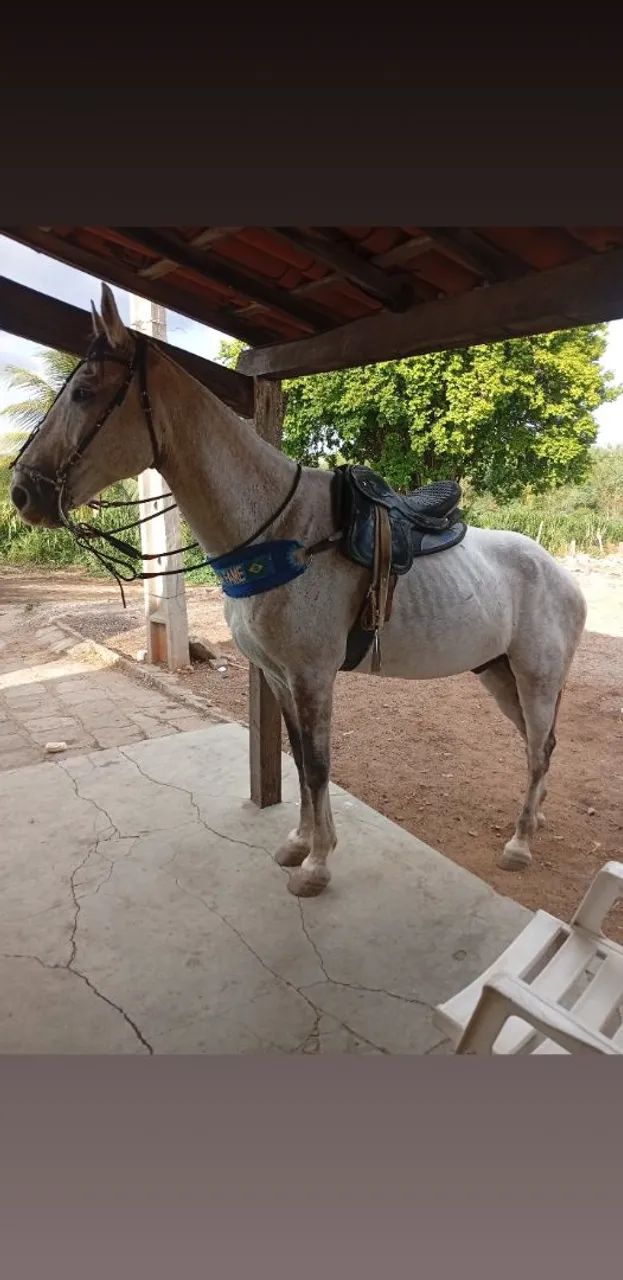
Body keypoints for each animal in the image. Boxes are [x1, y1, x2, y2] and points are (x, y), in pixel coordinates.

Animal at [9, 283, 587, 899]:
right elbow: (298, 758)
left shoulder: (312, 676)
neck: (283, 533)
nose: (22, 492)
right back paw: (536, 818)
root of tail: (563, 578)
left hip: (535, 677)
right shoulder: (279, 676)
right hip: (499, 675)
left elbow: (316, 763)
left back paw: (520, 844)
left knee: (538, 747)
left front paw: (318, 863)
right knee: (540, 744)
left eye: (85, 392)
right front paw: (299, 843)